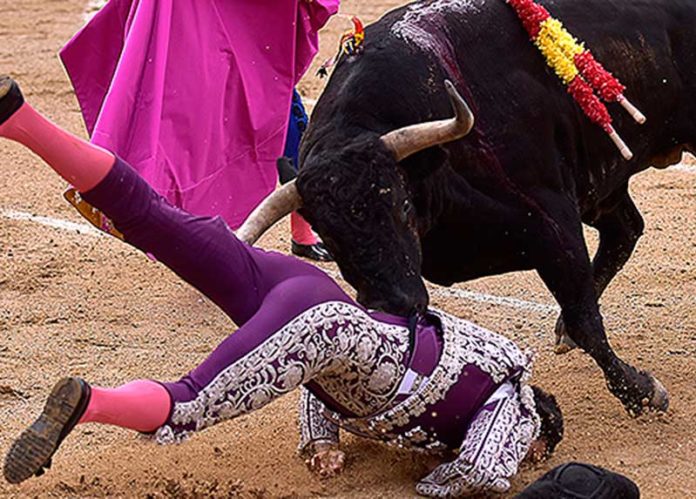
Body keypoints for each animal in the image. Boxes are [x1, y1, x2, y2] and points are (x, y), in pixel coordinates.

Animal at [296, 0, 692, 414]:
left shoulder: (552, 218)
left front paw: (643, 391)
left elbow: (585, 320)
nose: (396, 305)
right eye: (330, 237)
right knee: (625, 229)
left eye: (403, 206)